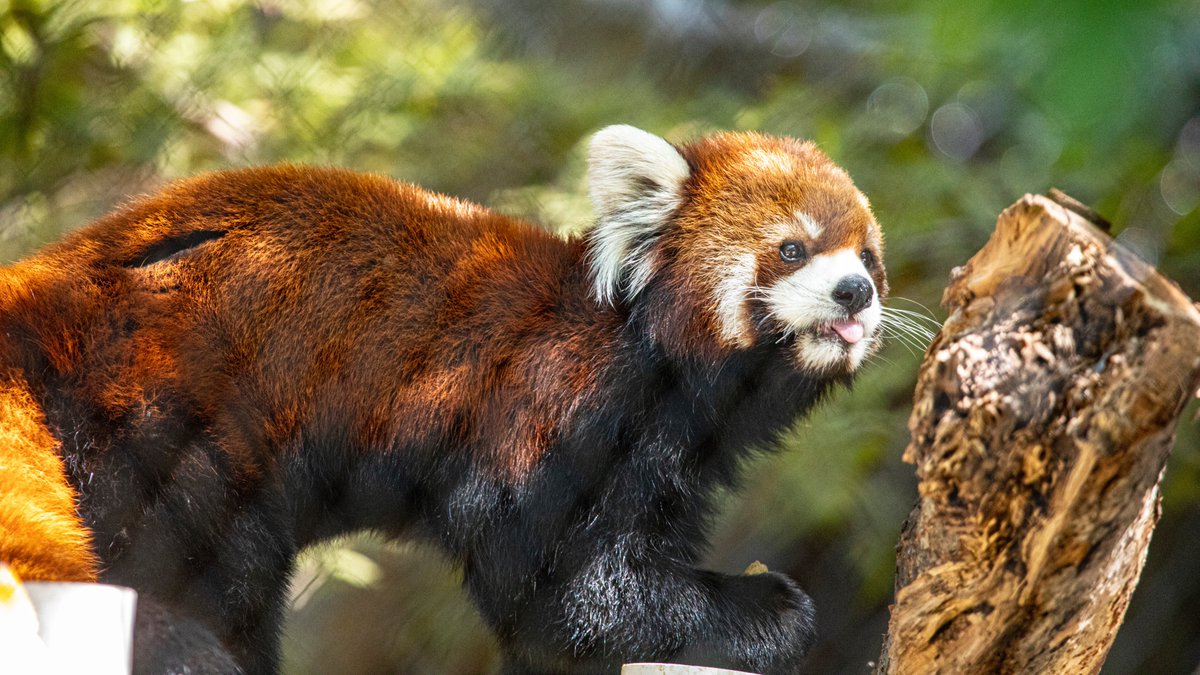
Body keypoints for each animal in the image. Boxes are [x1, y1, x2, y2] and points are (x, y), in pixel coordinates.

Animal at [0, 124, 883, 667]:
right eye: (792, 248)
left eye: (867, 253)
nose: (856, 292)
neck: (649, 356)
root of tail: (39, 297)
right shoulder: (551, 422)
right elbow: (563, 597)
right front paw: (764, 611)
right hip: (168, 429)